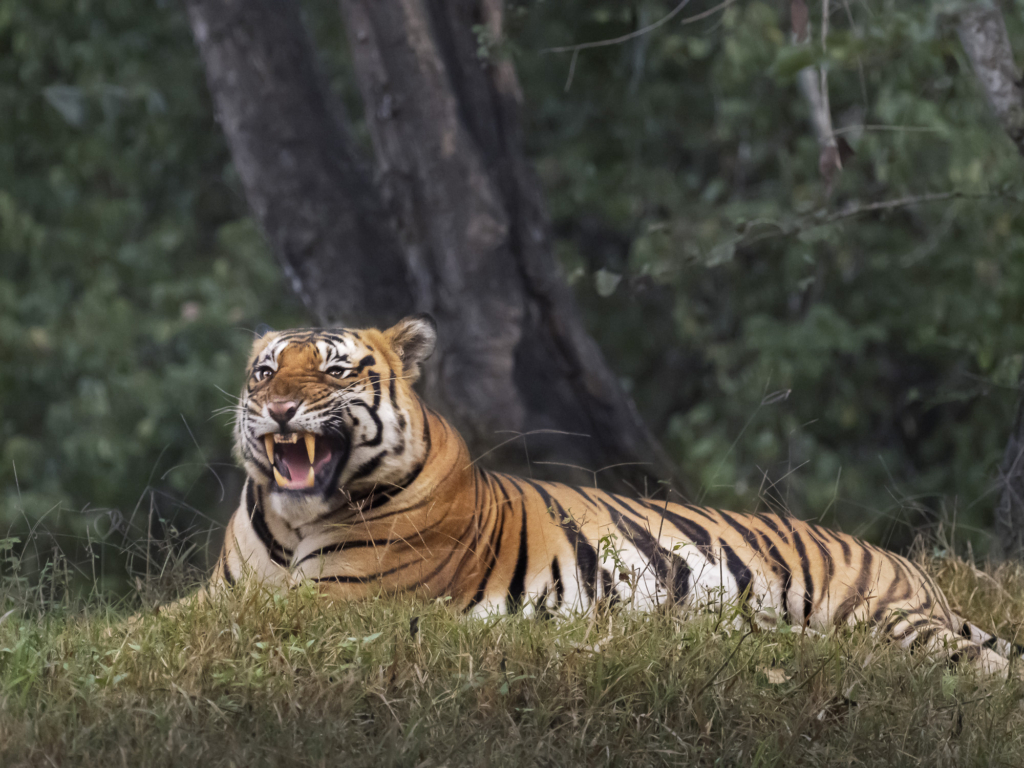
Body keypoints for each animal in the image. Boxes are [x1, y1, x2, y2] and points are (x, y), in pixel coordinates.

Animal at [209, 315, 1024, 675]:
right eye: (265, 372)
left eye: (335, 370)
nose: (279, 408)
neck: (293, 519)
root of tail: (915, 571)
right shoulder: (228, 591)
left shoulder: (340, 602)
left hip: (877, 616)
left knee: (980, 668)